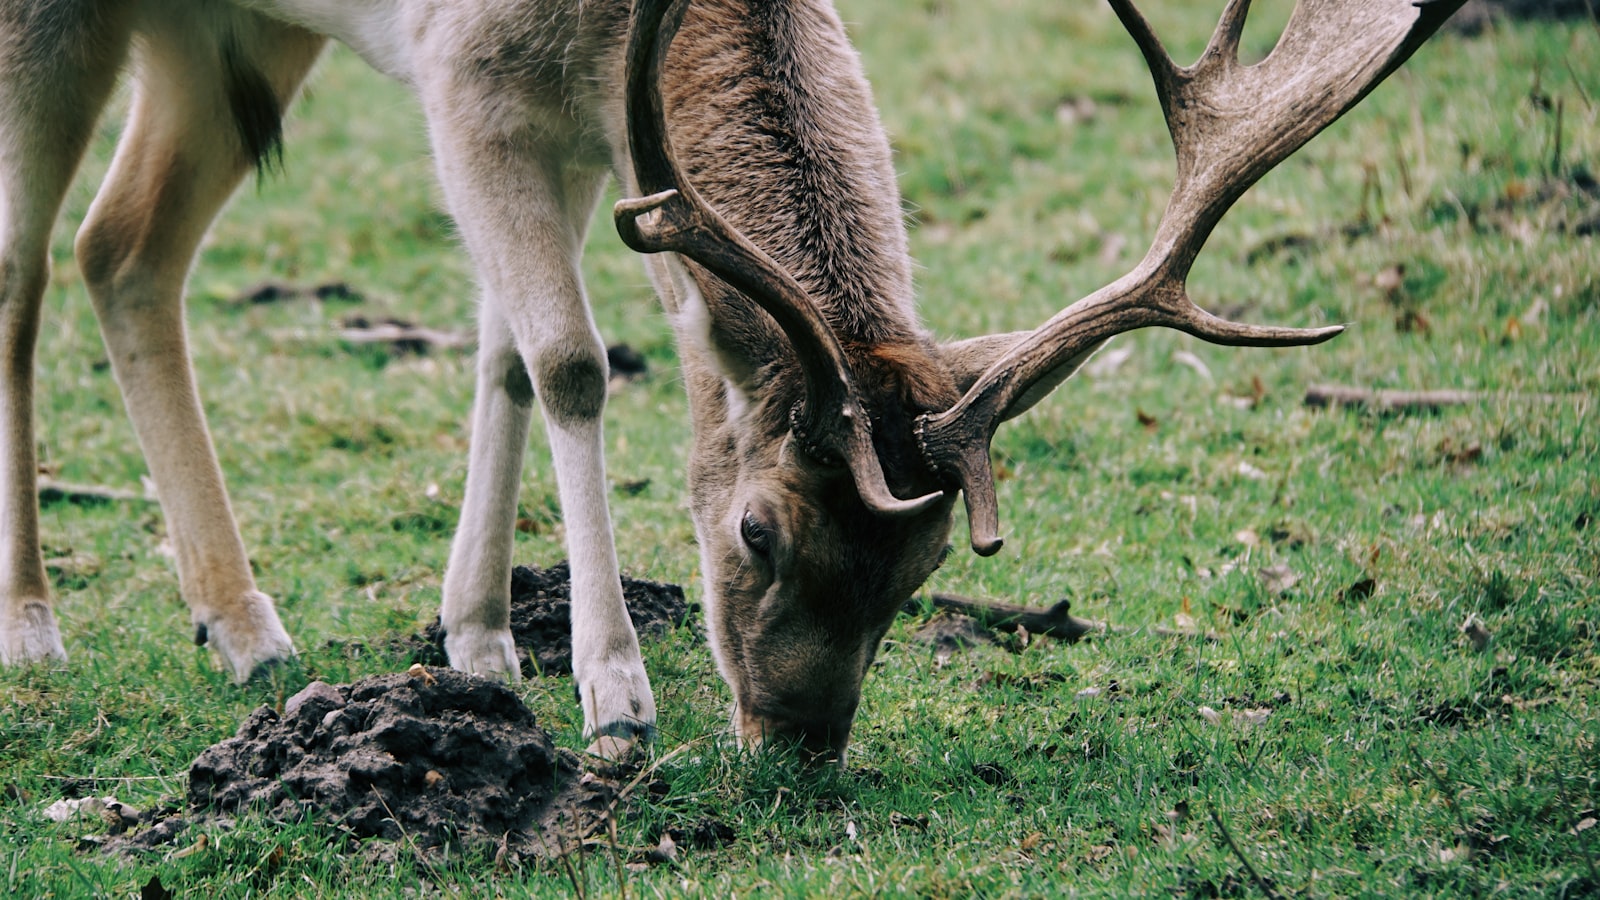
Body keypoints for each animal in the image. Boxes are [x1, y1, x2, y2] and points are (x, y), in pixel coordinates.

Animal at [0, 0, 1461, 761]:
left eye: (927, 568)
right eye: (756, 530)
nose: (802, 748)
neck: (609, 44)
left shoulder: (580, 134)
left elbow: (501, 355)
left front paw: (477, 641)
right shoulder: (467, 91)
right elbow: (570, 364)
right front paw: (613, 693)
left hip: (229, 32)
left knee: (122, 246)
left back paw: (241, 624)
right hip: (52, 27)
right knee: (22, 268)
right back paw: (32, 628)